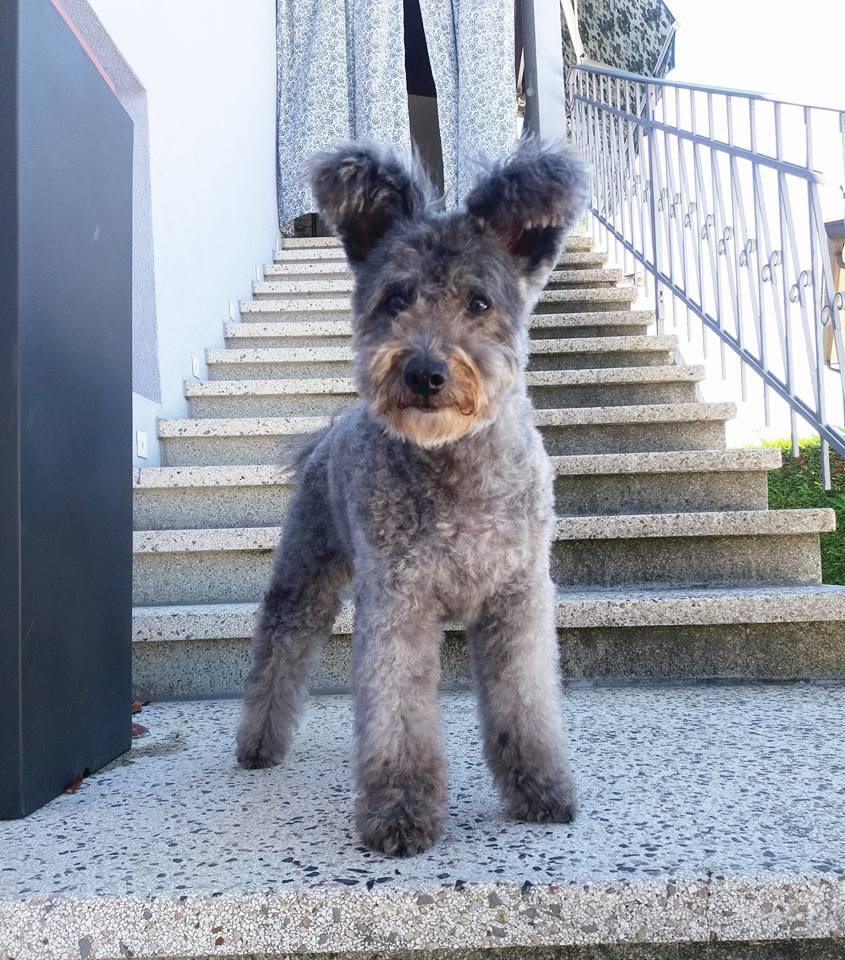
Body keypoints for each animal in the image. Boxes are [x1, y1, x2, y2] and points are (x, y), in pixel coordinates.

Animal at [234, 135, 592, 856]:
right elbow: (397, 712)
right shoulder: (398, 600)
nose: (425, 371)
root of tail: (329, 430)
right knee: (280, 648)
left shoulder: (517, 598)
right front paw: (399, 812)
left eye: (478, 302)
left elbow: (525, 700)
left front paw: (540, 789)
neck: (452, 465)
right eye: (396, 298)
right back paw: (258, 743)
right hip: (306, 568)